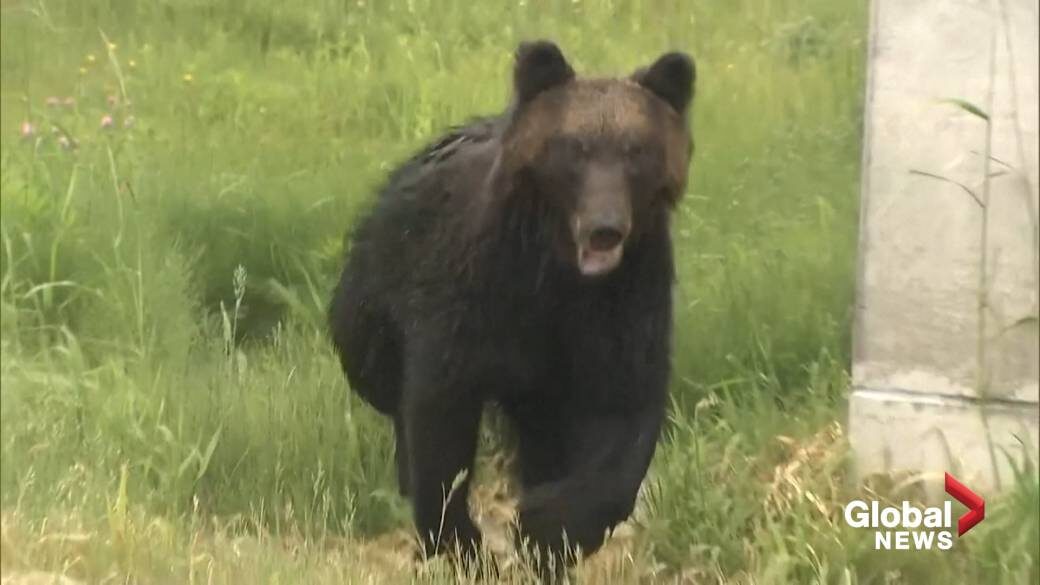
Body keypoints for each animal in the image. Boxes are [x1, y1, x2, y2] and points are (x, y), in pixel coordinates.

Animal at [328, 40, 695, 572]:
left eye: (636, 150)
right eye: (576, 148)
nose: (606, 226)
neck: (558, 270)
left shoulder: (621, 303)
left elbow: (622, 414)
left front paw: (545, 530)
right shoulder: (473, 293)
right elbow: (439, 418)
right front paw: (458, 544)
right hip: (373, 297)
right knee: (379, 380)